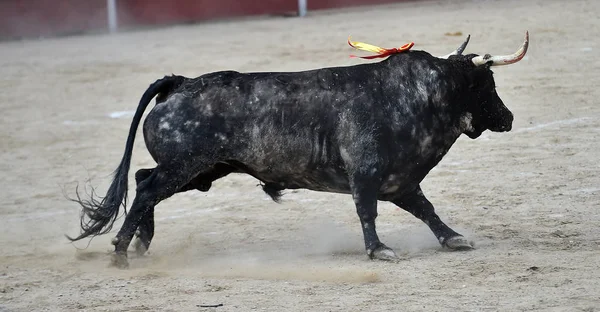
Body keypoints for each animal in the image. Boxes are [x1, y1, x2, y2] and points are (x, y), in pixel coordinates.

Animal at [69, 33, 528, 268]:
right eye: (485, 84)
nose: (508, 117)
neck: (416, 97)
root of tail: (180, 83)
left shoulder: (400, 181)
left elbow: (427, 209)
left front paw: (454, 239)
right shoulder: (367, 174)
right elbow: (367, 211)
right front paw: (378, 249)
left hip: (203, 171)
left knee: (143, 180)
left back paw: (142, 243)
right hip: (187, 165)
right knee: (147, 188)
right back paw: (122, 252)